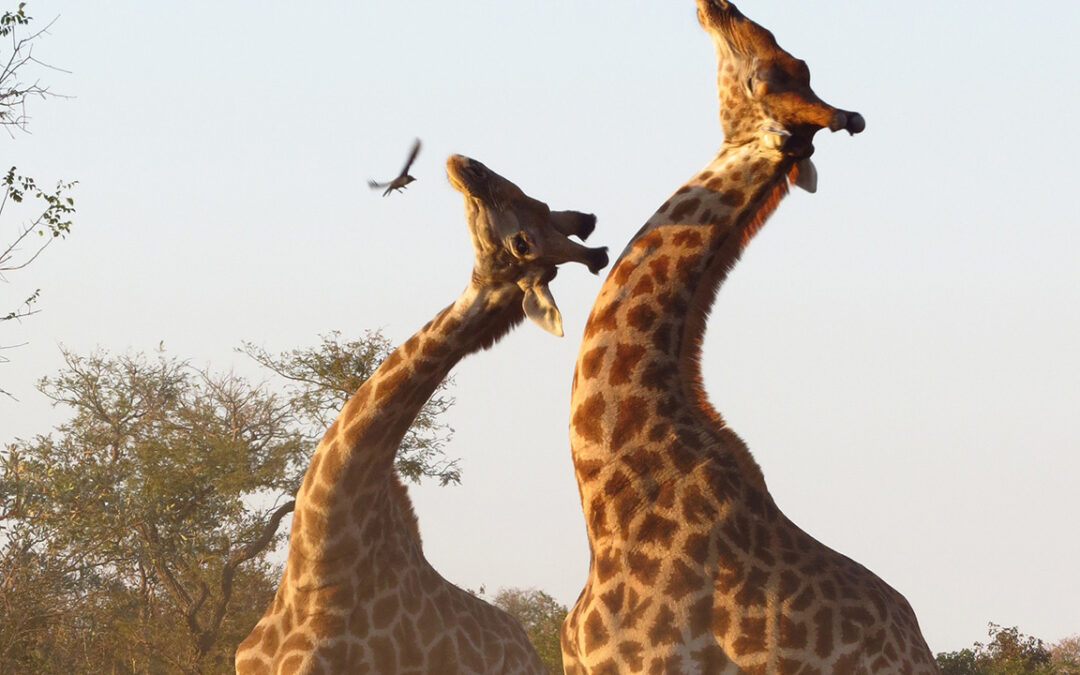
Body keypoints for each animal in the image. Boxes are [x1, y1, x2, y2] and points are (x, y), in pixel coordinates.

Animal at [561, 1, 937, 673]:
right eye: (786, 69)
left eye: (766, 76)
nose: (720, 6)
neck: (607, 508)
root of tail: (920, 650)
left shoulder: (649, 661)